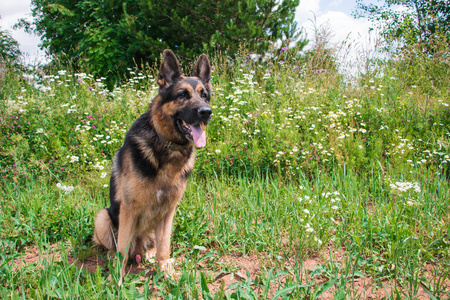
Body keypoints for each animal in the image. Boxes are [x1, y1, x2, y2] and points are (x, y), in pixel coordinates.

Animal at [92, 50, 213, 282]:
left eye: (204, 95)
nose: (206, 112)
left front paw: (165, 271)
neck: (166, 144)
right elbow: (122, 249)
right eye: (182, 95)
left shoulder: (168, 212)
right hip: (103, 217)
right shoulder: (128, 210)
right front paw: (116, 279)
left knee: (153, 245)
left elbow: (164, 246)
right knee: (115, 247)